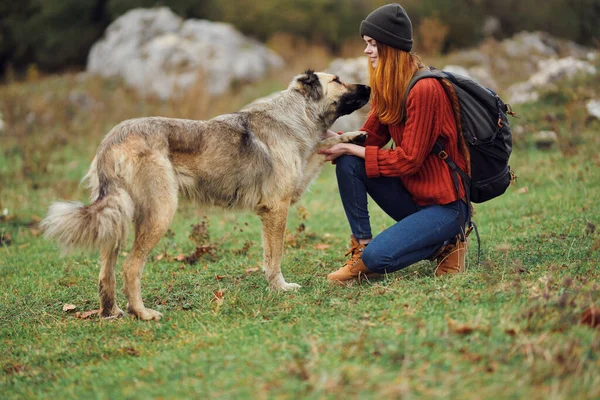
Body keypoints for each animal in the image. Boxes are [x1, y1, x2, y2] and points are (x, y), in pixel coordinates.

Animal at [41, 70, 370, 320]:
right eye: (338, 80)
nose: (369, 87)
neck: (298, 113)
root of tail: (112, 140)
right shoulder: (277, 208)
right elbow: (274, 256)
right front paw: (280, 288)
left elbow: (323, 146)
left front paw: (352, 136)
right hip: (159, 213)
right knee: (130, 267)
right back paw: (143, 313)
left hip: (117, 219)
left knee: (106, 272)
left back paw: (112, 312)